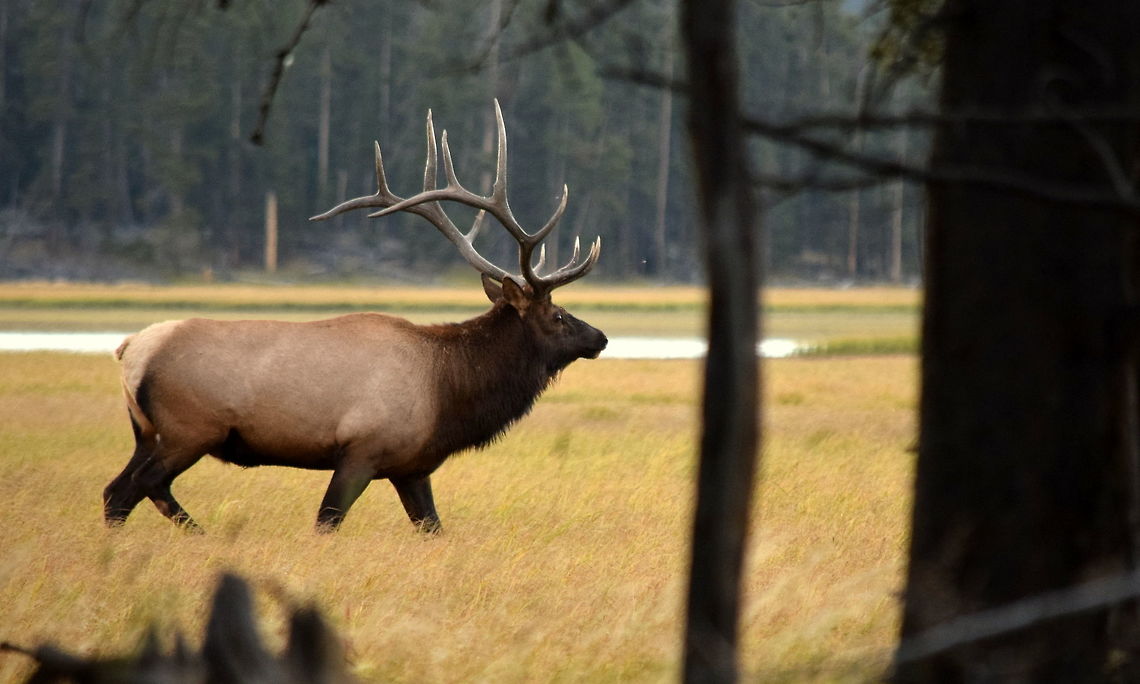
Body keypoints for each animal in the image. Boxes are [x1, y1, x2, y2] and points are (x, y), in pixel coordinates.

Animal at [104, 101, 606, 534]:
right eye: (558, 315)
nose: (600, 338)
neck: (447, 392)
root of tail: (131, 349)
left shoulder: (411, 467)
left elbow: (433, 527)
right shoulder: (362, 449)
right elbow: (327, 520)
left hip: (146, 433)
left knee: (116, 490)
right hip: (189, 429)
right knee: (139, 487)